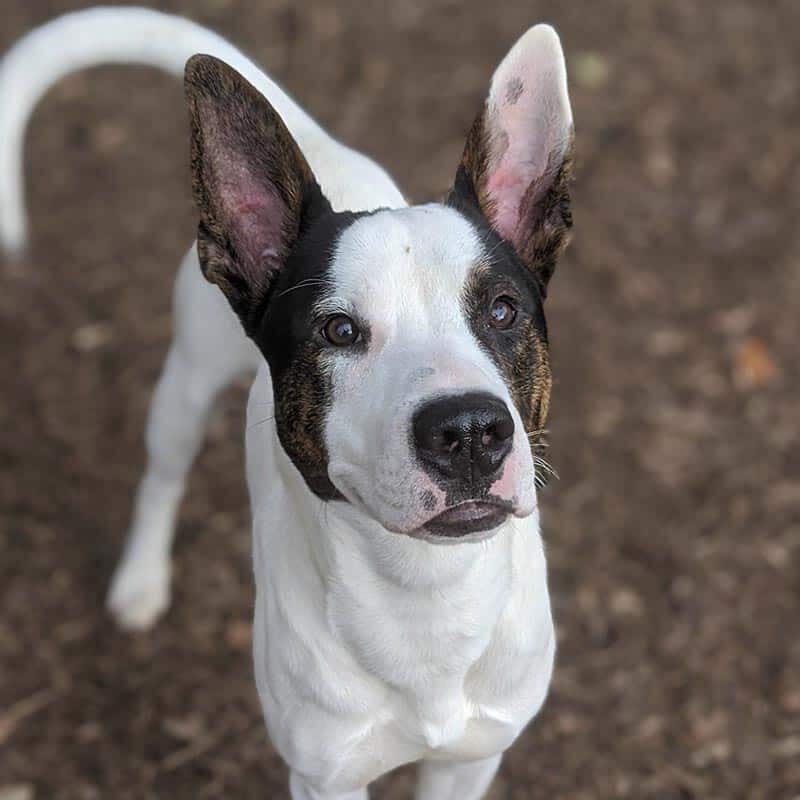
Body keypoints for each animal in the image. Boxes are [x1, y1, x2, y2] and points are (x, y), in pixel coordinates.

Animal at [1, 7, 576, 800]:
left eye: (501, 311)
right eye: (338, 331)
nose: (467, 431)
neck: (425, 594)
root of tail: (319, 145)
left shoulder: (470, 759)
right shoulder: (323, 775)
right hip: (185, 385)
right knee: (162, 477)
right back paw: (141, 582)